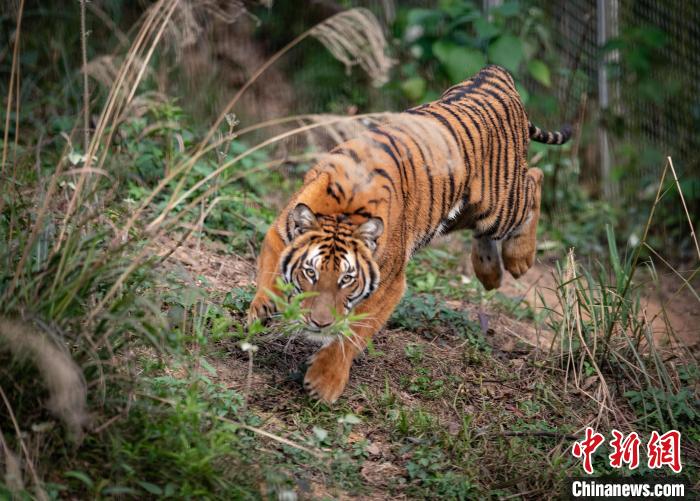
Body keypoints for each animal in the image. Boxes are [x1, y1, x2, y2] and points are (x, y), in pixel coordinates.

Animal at [246, 65, 568, 402]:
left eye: (347, 279)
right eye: (310, 273)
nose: (320, 323)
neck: (342, 210)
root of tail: (493, 73)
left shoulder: (389, 285)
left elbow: (352, 334)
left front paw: (324, 382)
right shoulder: (278, 235)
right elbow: (268, 274)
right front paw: (262, 308)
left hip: (500, 203)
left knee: (535, 179)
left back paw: (519, 259)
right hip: (458, 211)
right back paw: (490, 273)